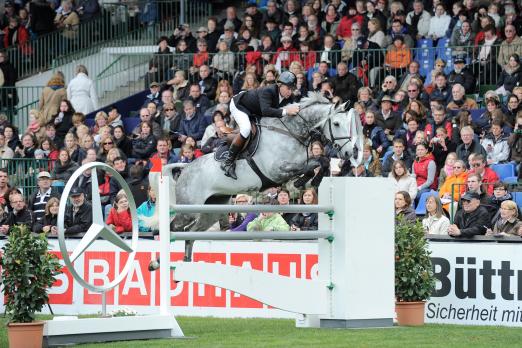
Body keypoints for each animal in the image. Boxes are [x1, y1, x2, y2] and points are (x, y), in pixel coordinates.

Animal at [148, 92, 364, 260]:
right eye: (336, 123)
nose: (349, 153)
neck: (291, 132)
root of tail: (185, 169)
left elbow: (321, 161)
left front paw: (310, 181)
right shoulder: (278, 170)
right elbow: (315, 163)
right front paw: (307, 180)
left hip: (212, 209)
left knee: (190, 233)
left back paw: (184, 264)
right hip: (189, 209)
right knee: (173, 227)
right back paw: (157, 262)